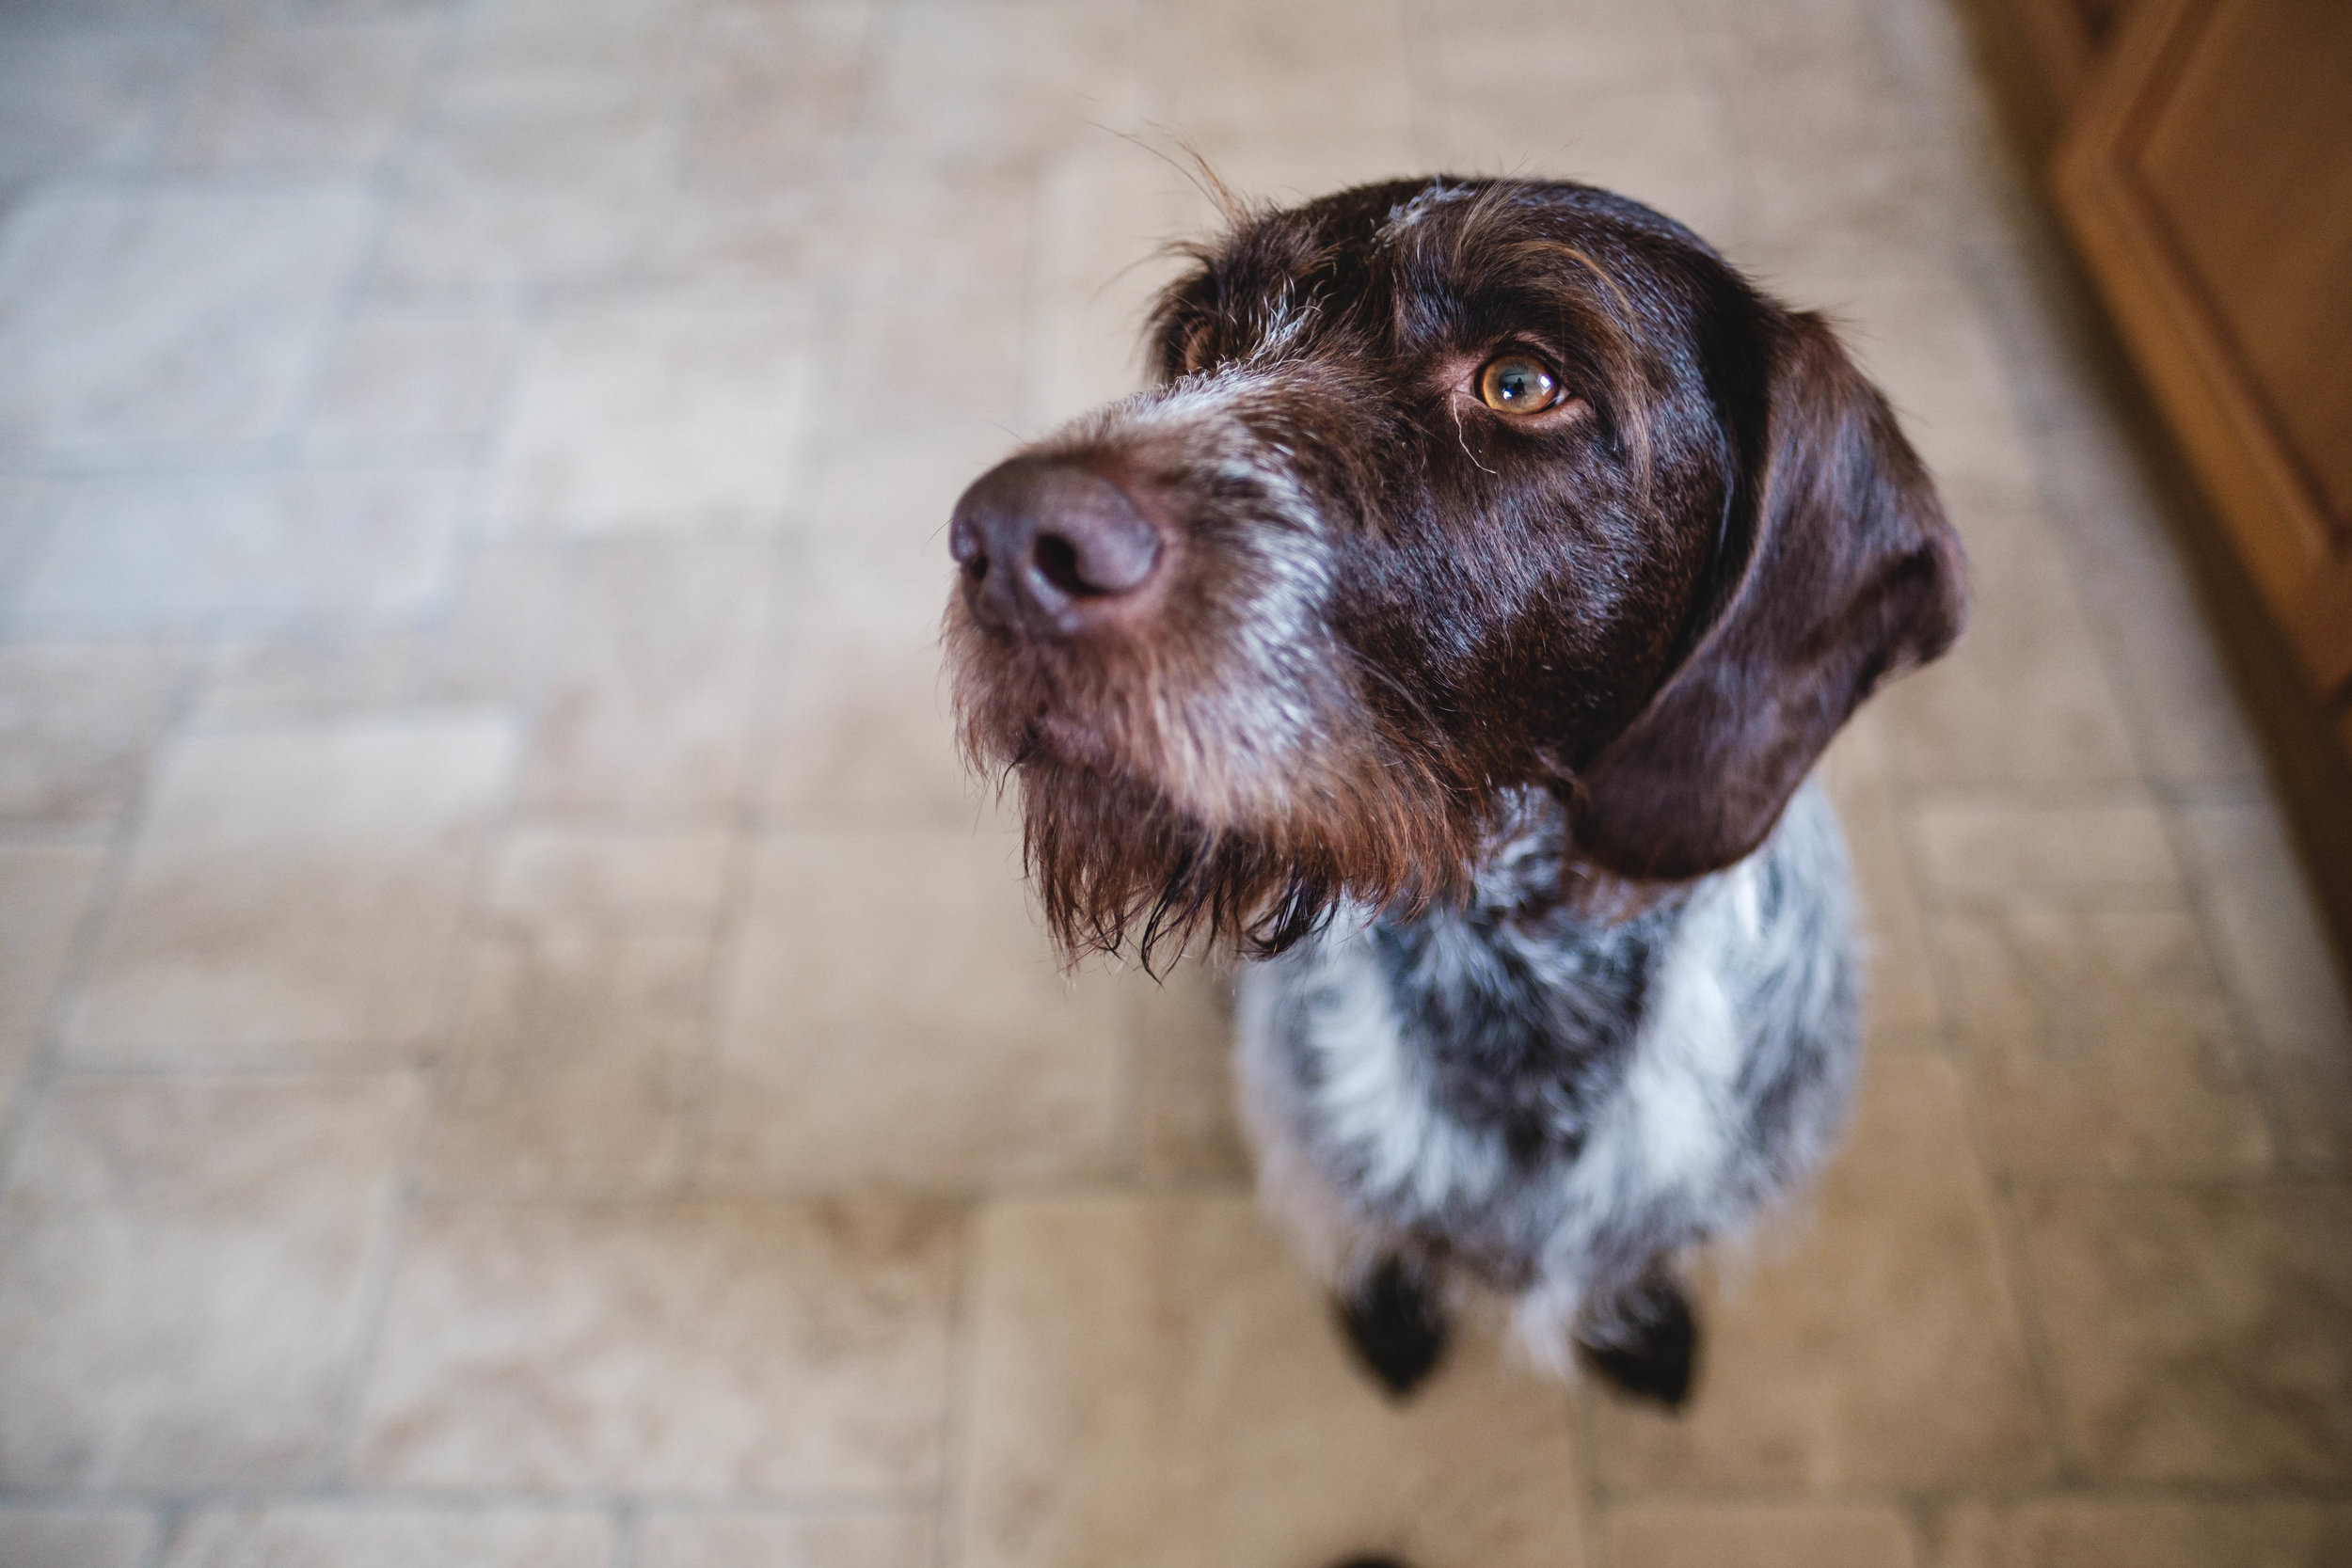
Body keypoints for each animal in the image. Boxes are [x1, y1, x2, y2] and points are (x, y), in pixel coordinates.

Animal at [936, 177, 1966, 1419]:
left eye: (1519, 382)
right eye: (1200, 343)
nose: (1003, 543)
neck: (1512, 974)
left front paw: (1641, 1324)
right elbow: (1384, 1242)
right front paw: (1391, 1312)